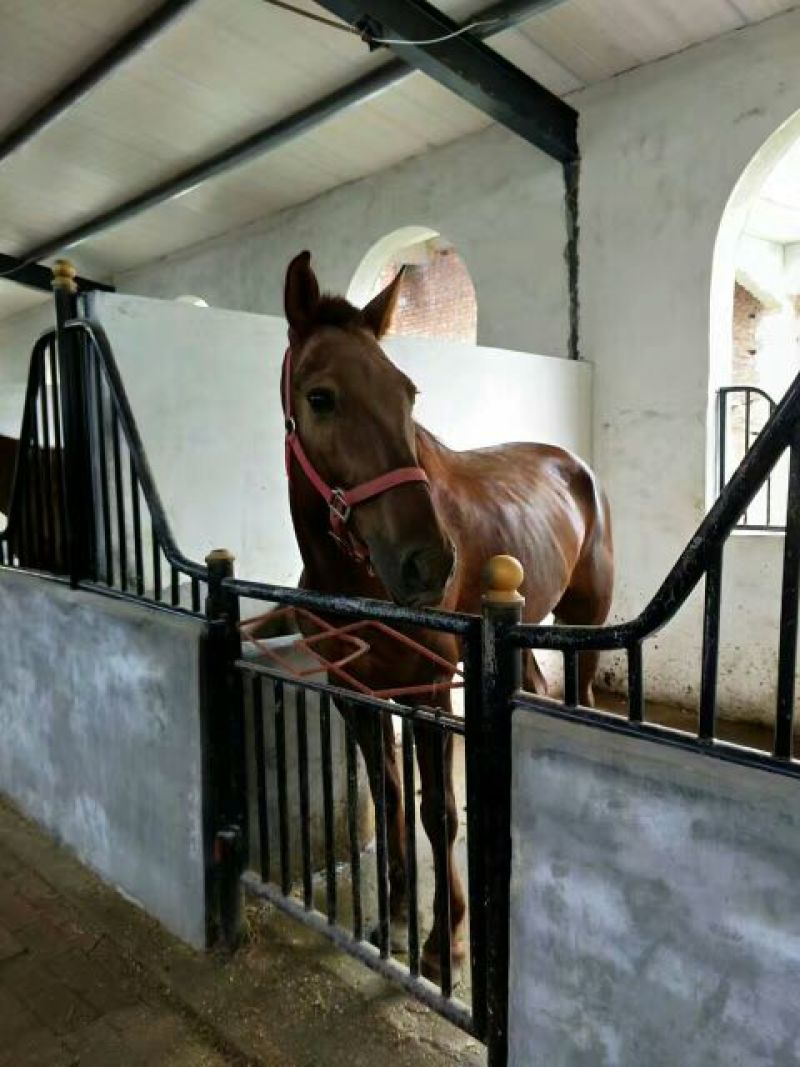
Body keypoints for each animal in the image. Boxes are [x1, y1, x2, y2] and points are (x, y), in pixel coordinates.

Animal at [280, 250, 613, 980]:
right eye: (320, 397)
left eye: (408, 394)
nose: (428, 563)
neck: (355, 580)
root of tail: (574, 465)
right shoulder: (355, 689)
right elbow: (389, 794)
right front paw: (396, 907)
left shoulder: (431, 689)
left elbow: (438, 810)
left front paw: (445, 940)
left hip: (584, 621)